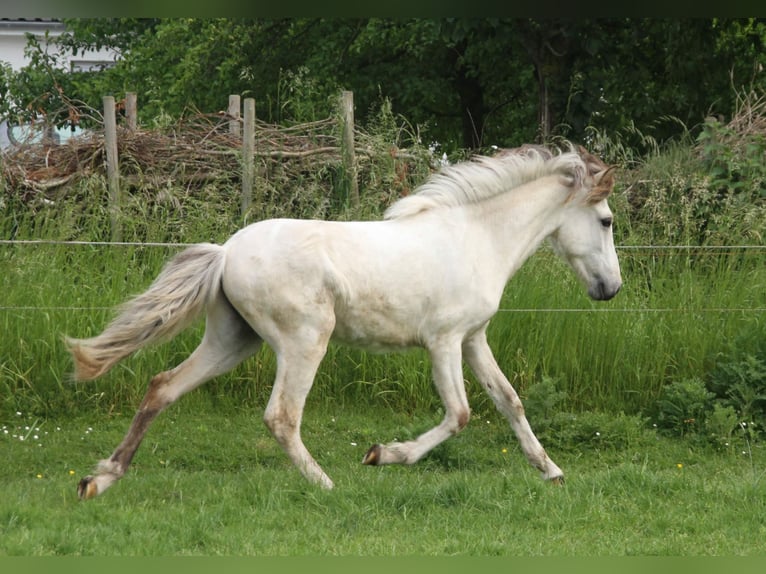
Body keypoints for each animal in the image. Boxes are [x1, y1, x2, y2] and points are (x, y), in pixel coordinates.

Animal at [67, 143, 624, 500]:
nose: (611, 289)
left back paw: (100, 479)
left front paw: (551, 471)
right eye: (606, 221)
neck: (478, 237)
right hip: (304, 340)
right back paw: (326, 485)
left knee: (163, 387)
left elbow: (509, 401)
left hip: (233, 341)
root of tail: (225, 252)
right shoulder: (443, 341)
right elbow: (460, 414)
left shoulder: (473, 339)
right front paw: (382, 455)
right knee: (281, 416)